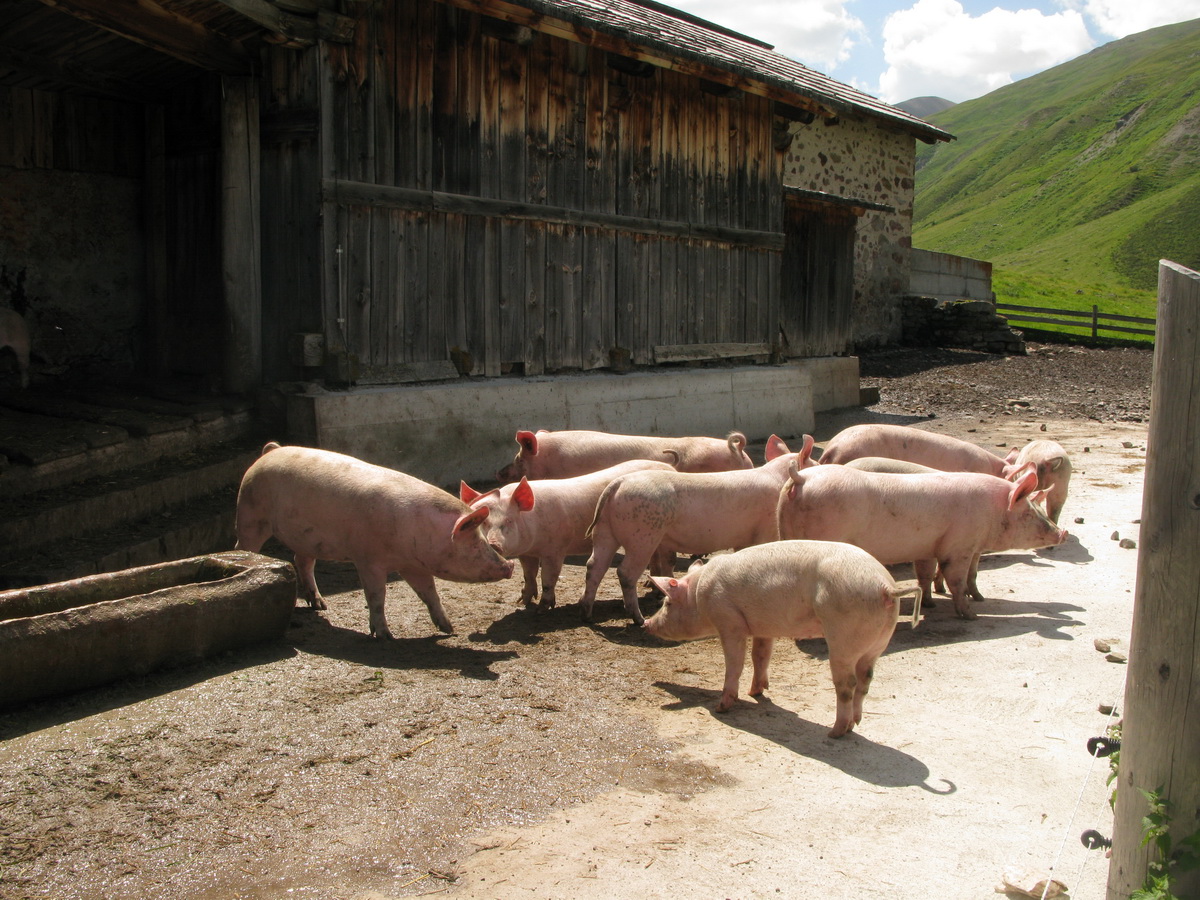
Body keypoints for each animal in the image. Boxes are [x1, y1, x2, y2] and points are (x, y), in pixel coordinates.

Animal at [234, 442, 514, 639]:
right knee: (244, 545)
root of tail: (271, 451)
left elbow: (429, 593)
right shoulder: (368, 560)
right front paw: (385, 636)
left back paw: (321, 606)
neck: (419, 531)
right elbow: (376, 595)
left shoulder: (413, 565)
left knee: (301, 560)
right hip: (250, 513)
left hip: (306, 536)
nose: (509, 566)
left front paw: (449, 629)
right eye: (476, 542)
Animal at [459, 458, 675, 612]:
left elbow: (549, 577)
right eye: (481, 523)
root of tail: (670, 468)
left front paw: (542, 608)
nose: (493, 544)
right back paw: (649, 585)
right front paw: (522, 602)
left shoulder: (555, 549)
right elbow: (529, 574)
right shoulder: (526, 552)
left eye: (508, 521)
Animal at [579, 435, 815, 625]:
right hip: (643, 534)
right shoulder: (766, 529)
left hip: (605, 530)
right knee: (625, 572)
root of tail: (617, 485)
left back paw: (587, 614)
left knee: (594, 565)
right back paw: (639, 620)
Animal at [645, 540, 915, 737]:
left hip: (843, 638)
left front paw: (721, 707)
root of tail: (885, 587)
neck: (699, 594)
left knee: (847, 683)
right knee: (866, 678)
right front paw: (756, 692)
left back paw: (835, 732)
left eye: (668, 603)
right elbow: (760, 656)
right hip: (878, 642)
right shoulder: (763, 628)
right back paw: (854, 724)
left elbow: (735, 663)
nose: (647, 623)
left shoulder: (730, 622)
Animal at [776, 462, 1067, 619]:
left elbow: (924, 574)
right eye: (1029, 512)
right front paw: (971, 615)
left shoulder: (927, 546)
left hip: (785, 532)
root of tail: (801, 476)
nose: (1062, 533)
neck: (991, 511)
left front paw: (930, 603)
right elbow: (956, 579)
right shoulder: (959, 545)